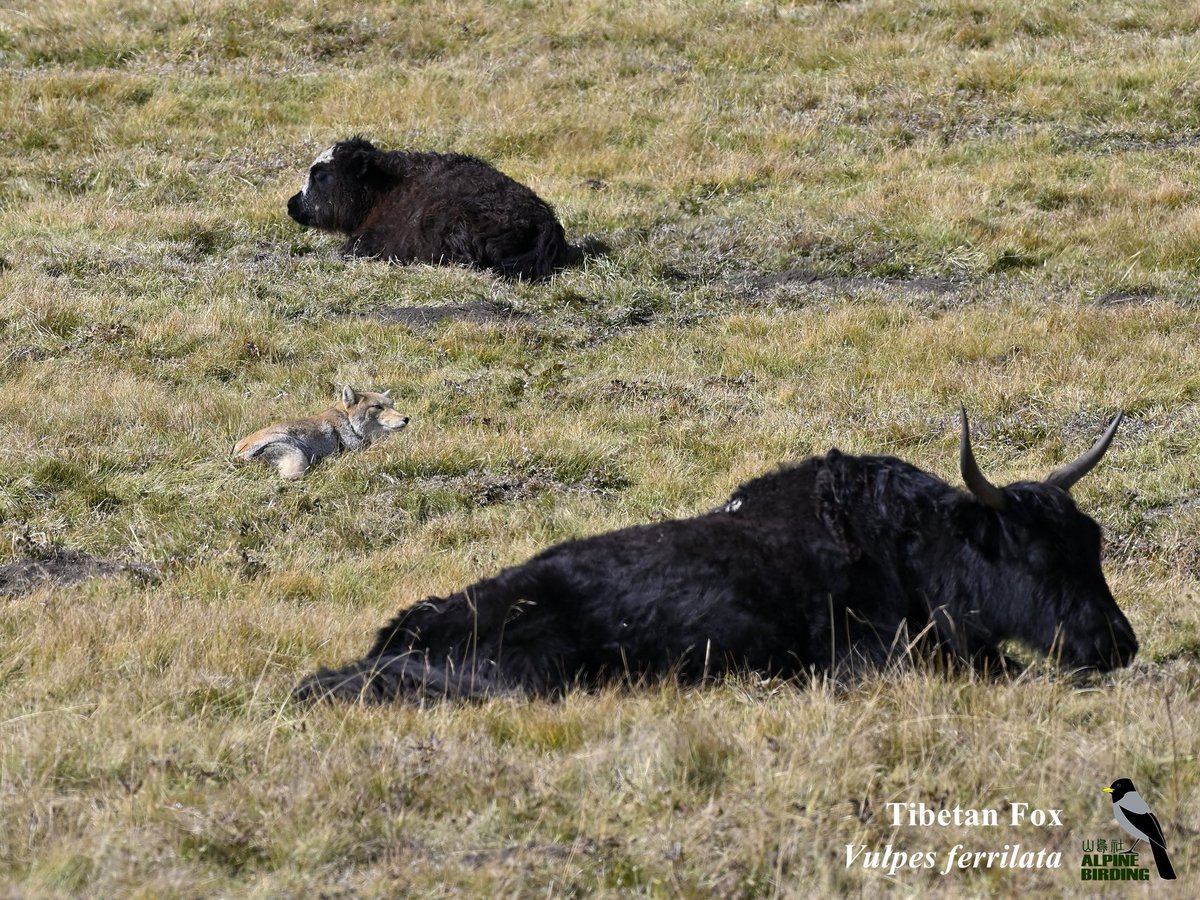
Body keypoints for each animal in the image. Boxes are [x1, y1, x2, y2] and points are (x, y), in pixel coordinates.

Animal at [233, 386, 409, 479]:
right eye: (377, 406)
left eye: (392, 405)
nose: (406, 418)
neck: (348, 423)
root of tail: (238, 456)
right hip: (298, 460)